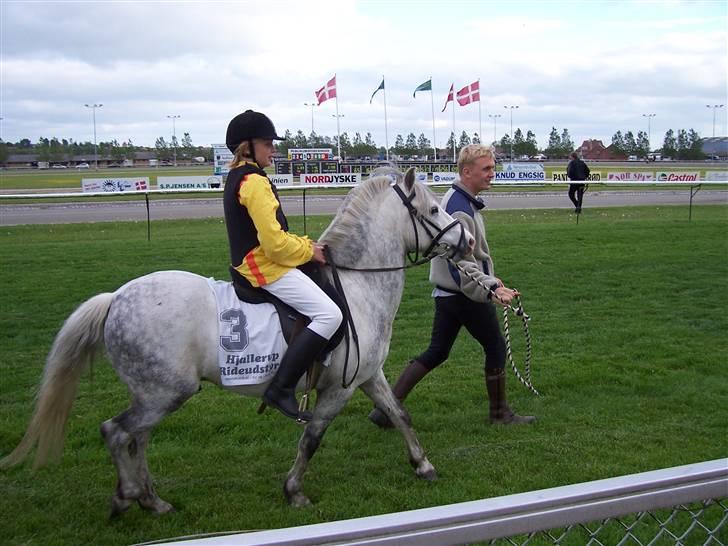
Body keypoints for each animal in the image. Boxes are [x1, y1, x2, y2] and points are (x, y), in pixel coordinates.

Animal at [0, 166, 474, 510]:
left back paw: (151, 500)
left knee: (137, 439)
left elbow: (400, 414)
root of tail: (116, 298)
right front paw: (294, 491)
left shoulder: (368, 375)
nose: (468, 239)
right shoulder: (338, 390)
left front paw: (423, 465)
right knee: (117, 433)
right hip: (166, 393)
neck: (357, 285)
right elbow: (312, 437)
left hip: (152, 394)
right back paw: (129, 497)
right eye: (434, 210)